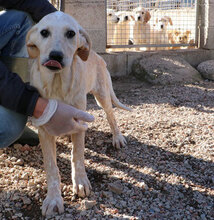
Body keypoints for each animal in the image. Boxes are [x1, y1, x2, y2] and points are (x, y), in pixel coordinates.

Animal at [26, 11, 131, 216]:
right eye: (44, 32)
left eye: (71, 33)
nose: (55, 55)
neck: (57, 83)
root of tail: (97, 55)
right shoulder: (44, 128)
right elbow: (51, 166)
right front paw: (53, 198)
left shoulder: (80, 121)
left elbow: (78, 155)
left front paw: (81, 181)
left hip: (102, 96)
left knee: (111, 116)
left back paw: (117, 137)